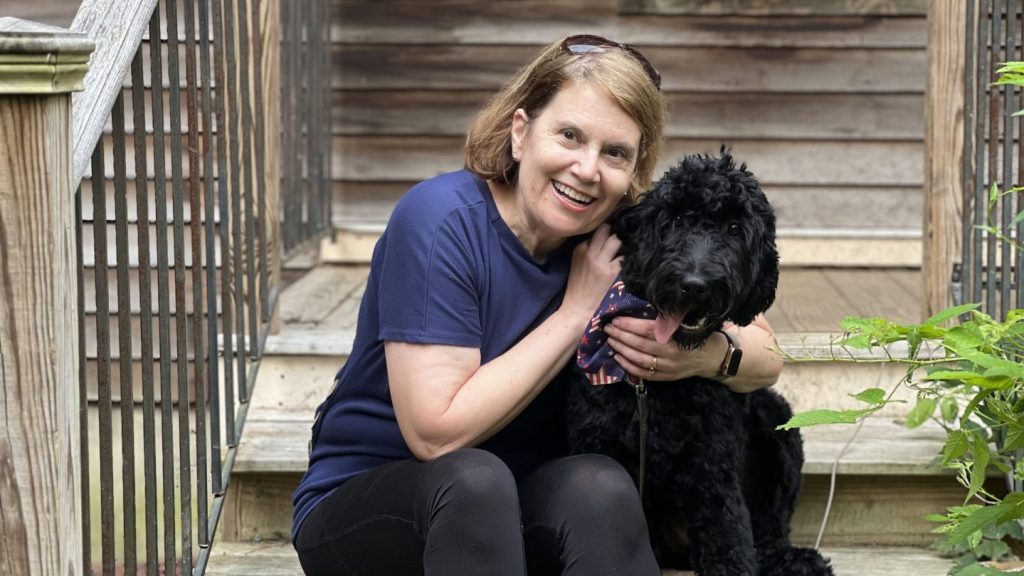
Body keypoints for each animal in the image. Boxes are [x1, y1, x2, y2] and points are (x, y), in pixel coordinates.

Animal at [565, 151, 835, 573]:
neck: (652, 390)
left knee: (770, 525)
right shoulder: (601, 446)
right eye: (675, 219)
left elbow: (727, 533)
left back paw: (794, 558)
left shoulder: (712, 464)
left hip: (777, 423)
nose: (695, 285)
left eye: (735, 228)